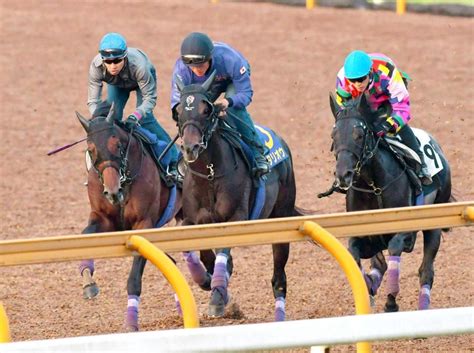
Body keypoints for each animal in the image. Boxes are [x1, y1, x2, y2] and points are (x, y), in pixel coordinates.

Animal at [76, 102, 181, 330]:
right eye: (91, 149)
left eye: (118, 145)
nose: (112, 192)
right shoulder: (103, 219)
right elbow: (84, 237)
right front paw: (88, 282)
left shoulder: (144, 224)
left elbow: (134, 277)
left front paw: (131, 322)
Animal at [173, 71, 304, 320]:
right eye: (179, 111)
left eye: (206, 110)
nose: (190, 148)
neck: (210, 174)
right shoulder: (191, 220)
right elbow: (201, 254)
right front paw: (208, 280)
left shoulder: (235, 218)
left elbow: (222, 255)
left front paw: (217, 297)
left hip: (281, 216)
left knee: (279, 278)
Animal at [326, 93, 452, 310]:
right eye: (334, 136)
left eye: (359, 135)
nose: (343, 175)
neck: (373, 188)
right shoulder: (363, 235)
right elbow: (355, 256)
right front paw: (369, 285)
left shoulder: (404, 232)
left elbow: (394, 249)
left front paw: (391, 302)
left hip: (434, 224)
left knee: (426, 272)